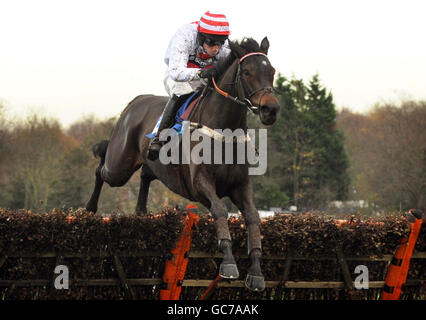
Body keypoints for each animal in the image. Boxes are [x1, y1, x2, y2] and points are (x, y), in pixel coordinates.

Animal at [85, 37, 282, 290]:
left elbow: (253, 217)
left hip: (149, 164)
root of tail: (136, 101)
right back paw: (90, 209)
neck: (223, 132)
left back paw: (140, 212)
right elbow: (220, 210)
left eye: (272, 71)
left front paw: (256, 272)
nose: (271, 109)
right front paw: (228, 263)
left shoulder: (240, 185)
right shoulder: (200, 184)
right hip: (119, 165)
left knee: (145, 175)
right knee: (101, 168)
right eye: (247, 72)